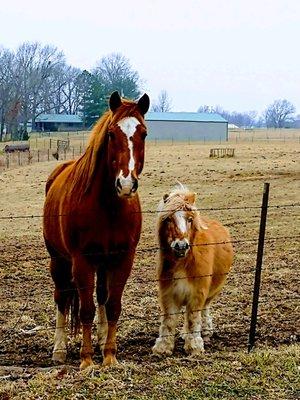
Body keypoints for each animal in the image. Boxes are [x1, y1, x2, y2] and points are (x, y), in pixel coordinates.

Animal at [42, 90, 150, 368]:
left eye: (143, 133)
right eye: (111, 134)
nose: (126, 184)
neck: (109, 207)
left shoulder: (123, 259)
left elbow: (112, 305)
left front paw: (109, 355)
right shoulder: (81, 261)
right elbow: (86, 310)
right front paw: (87, 360)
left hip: (103, 263)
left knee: (101, 295)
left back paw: (101, 341)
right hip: (58, 260)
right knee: (61, 296)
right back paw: (59, 349)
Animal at [154, 186, 233, 358]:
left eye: (190, 219)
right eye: (168, 219)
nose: (181, 246)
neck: (183, 263)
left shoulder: (198, 293)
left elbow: (193, 318)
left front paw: (194, 347)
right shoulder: (169, 293)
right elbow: (168, 320)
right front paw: (163, 347)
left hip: (212, 291)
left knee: (205, 309)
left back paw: (206, 331)